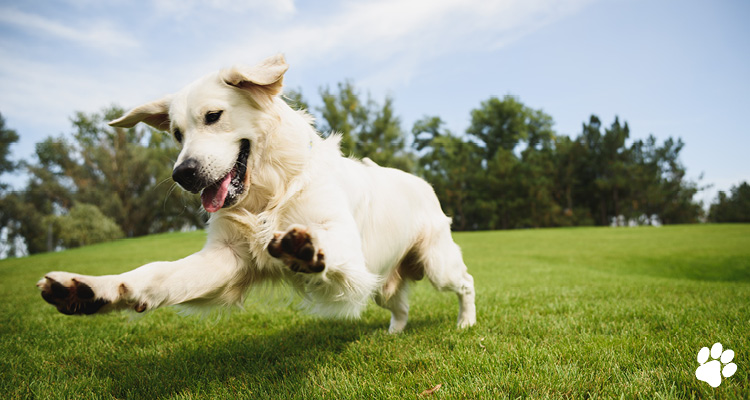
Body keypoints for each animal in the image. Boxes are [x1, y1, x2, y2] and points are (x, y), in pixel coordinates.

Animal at [36, 54, 476, 334]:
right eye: (176, 134)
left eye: (213, 116)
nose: (183, 174)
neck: (269, 194)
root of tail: (423, 182)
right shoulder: (227, 258)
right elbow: (155, 274)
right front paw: (92, 290)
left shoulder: (349, 250)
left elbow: (326, 244)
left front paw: (304, 248)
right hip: (384, 280)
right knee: (399, 304)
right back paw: (393, 333)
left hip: (437, 263)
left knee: (466, 282)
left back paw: (466, 323)